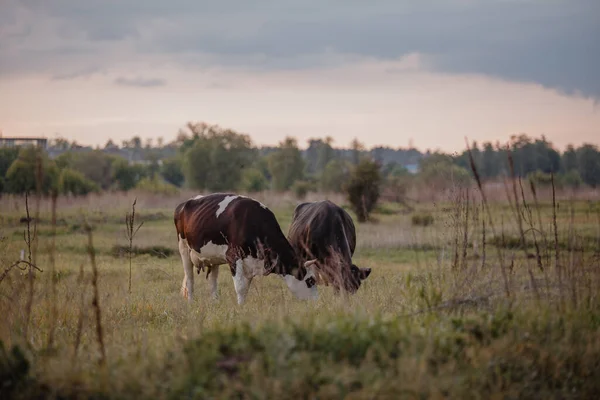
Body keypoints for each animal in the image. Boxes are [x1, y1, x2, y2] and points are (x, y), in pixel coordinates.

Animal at [173, 193, 318, 304]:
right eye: (310, 280)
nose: (316, 303)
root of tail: (184, 204)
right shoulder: (233, 256)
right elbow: (240, 287)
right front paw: (240, 308)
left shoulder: (251, 263)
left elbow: (245, 288)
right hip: (184, 249)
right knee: (190, 279)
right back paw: (191, 302)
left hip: (213, 258)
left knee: (213, 281)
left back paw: (215, 302)